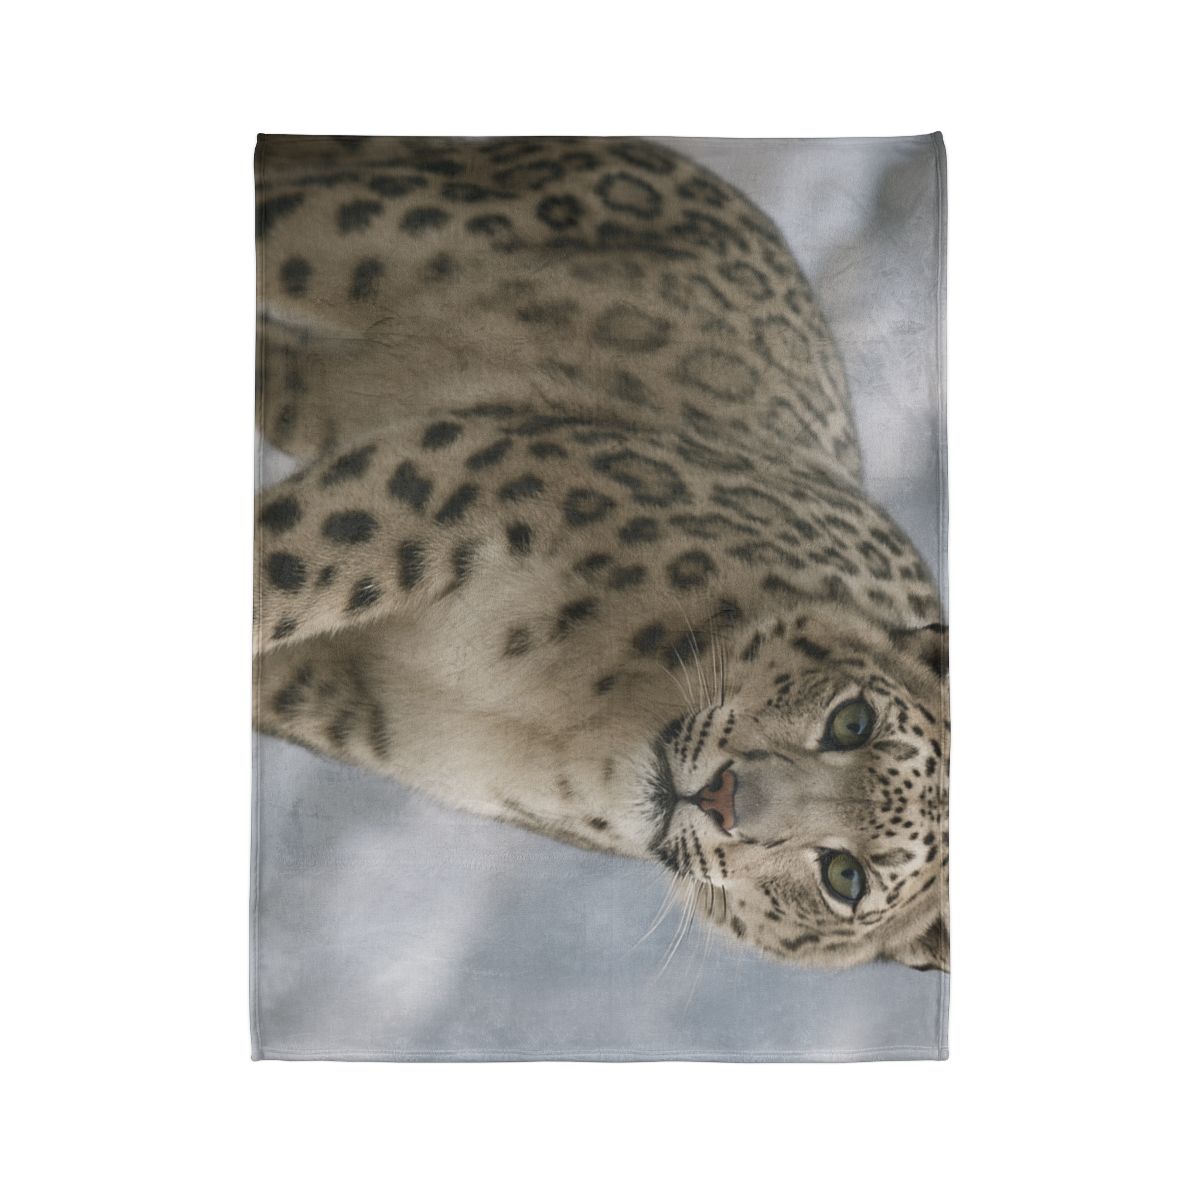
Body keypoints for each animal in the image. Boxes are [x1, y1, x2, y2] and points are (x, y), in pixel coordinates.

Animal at [253, 135, 948, 972]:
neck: (569, 715)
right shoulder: (460, 481)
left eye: (845, 876)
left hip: (325, 388)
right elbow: (284, 568)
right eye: (852, 721)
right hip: (371, 228)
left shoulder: (359, 701)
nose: (724, 796)